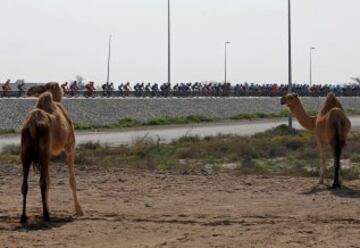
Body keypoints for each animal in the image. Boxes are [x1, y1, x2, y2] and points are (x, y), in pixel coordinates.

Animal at [20, 83, 83, 223]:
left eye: (41, 87)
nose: (29, 90)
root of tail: (32, 124)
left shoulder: (49, 152)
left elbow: (49, 180)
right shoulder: (70, 146)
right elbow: (72, 180)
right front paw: (79, 210)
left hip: (26, 152)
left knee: (25, 184)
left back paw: (23, 217)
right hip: (44, 153)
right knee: (42, 182)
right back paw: (46, 215)